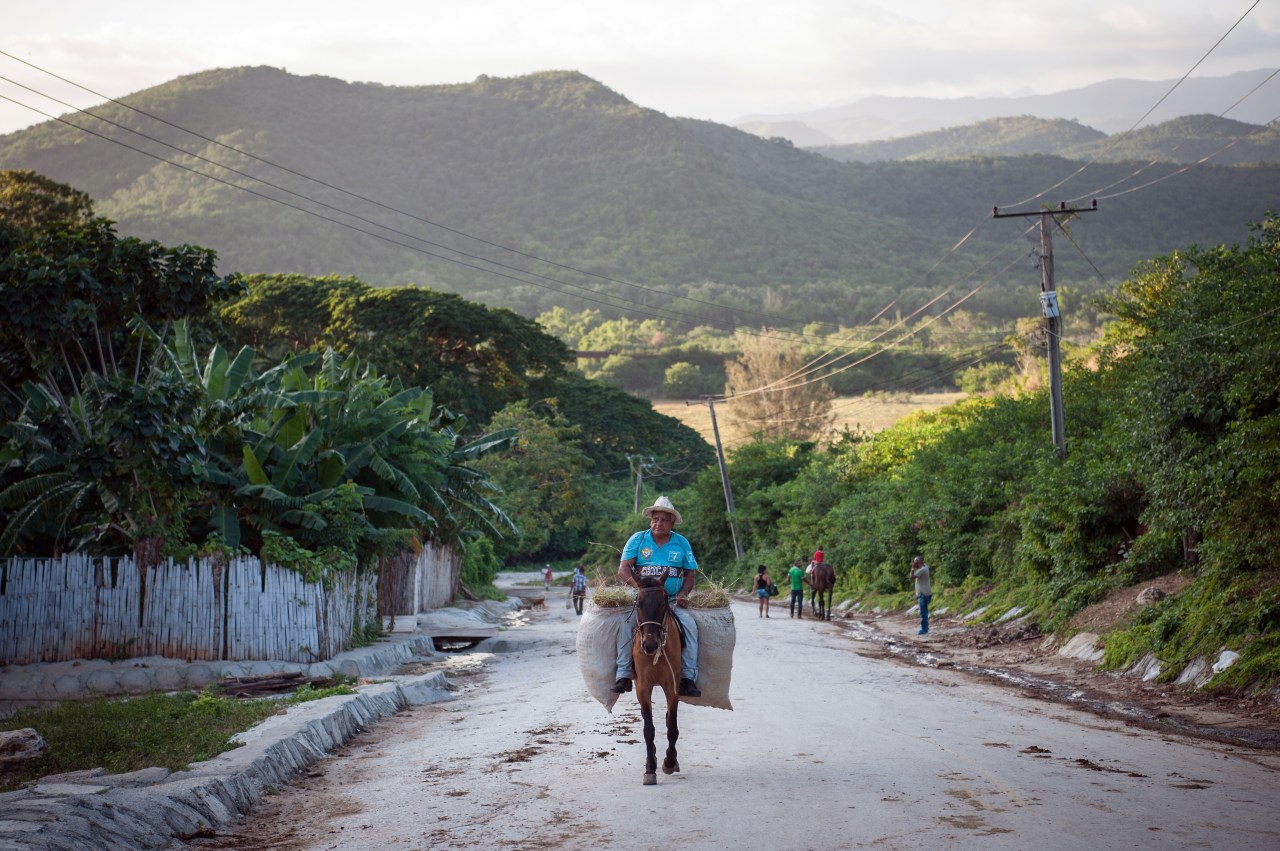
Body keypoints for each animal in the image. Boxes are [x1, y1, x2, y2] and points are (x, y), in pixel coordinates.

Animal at [627, 578, 680, 783]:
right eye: (638, 604)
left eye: (662, 603)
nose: (650, 645)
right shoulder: (642, 687)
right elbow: (648, 730)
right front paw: (650, 769)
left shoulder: (672, 686)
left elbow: (672, 727)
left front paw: (670, 762)